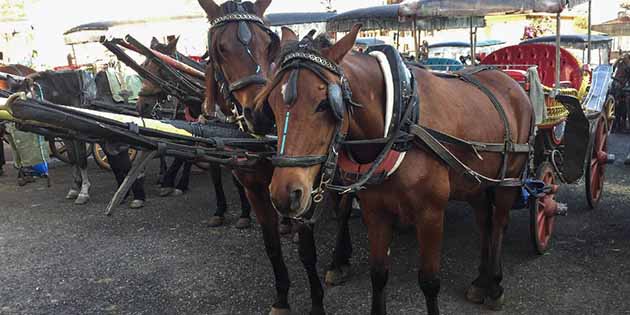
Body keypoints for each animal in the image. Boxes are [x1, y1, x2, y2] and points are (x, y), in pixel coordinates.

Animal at [260, 25, 536, 315]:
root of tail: (510, 81)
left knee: (500, 223)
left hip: (509, 179)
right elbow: (378, 274)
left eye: (325, 104)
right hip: (476, 183)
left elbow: (429, 281)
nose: (284, 194)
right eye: (271, 103)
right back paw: (481, 281)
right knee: (485, 222)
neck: (400, 121)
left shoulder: (431, 214)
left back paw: (494, 285)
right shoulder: (375, 211)